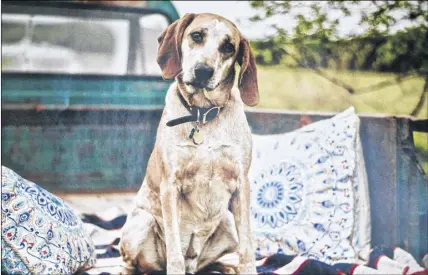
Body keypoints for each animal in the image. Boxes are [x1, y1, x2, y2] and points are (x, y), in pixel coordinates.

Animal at [120, 12, 260, 275]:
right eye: (196, 35)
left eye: (229, 47)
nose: (203, 71)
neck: (202, 114)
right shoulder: (170, 186)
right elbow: (174, 250)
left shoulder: (241, 184)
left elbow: (247, 247)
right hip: (141, 223)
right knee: (131, 263)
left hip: (227, 222)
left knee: (212, 263)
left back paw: (227, 268)